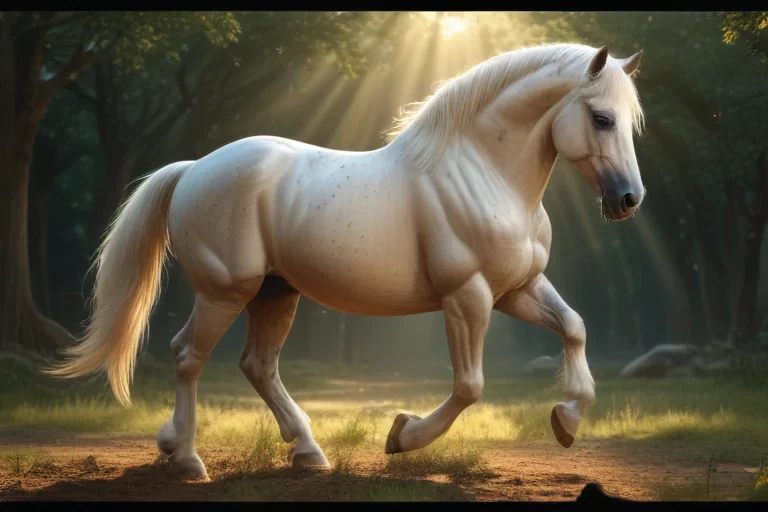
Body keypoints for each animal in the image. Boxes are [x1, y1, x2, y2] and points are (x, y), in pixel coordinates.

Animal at [46, 43, 646, 480]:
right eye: (600, 118)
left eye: (628, 121)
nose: (628, 200)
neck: (482, 171)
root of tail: (194, 168)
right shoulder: (468, 295)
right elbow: (468, 387)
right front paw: (402, 436)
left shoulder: (517, 289)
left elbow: (574, 327)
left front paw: (567, 419)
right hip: (225, 291)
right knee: (188, 356)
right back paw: (189, 459)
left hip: (275, 292)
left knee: (257, 365)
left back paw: (303, 452)